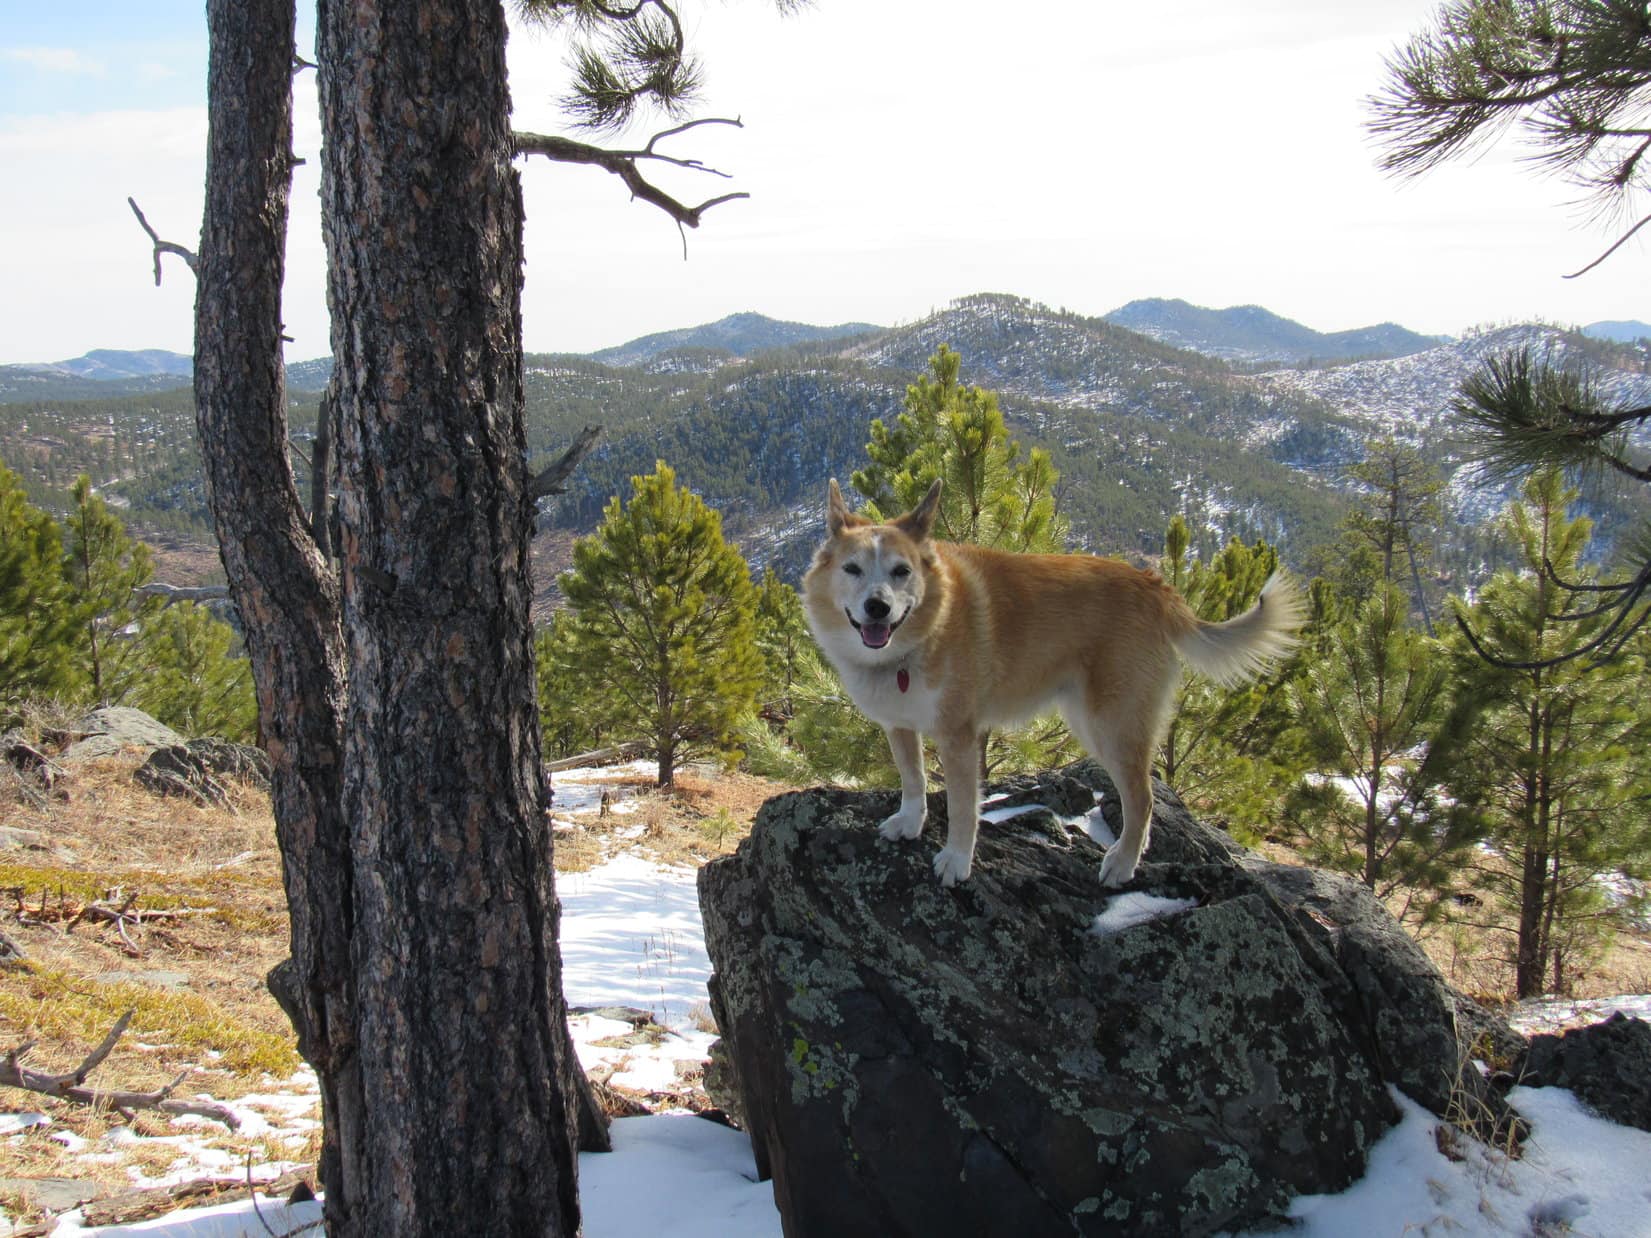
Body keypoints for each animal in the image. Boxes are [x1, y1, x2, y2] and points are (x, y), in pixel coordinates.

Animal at [803, 478, 1305, 888]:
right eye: (852, 569)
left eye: (901, 571)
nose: (878, 608)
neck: (919, 637)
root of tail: (1154, 586)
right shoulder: (901, 727)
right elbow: (913, 779)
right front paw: (909, 822)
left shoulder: (959, 737)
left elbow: (964, 808)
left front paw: (957, 860)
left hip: (1112, 725)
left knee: (1142, 800)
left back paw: (1122, 864)